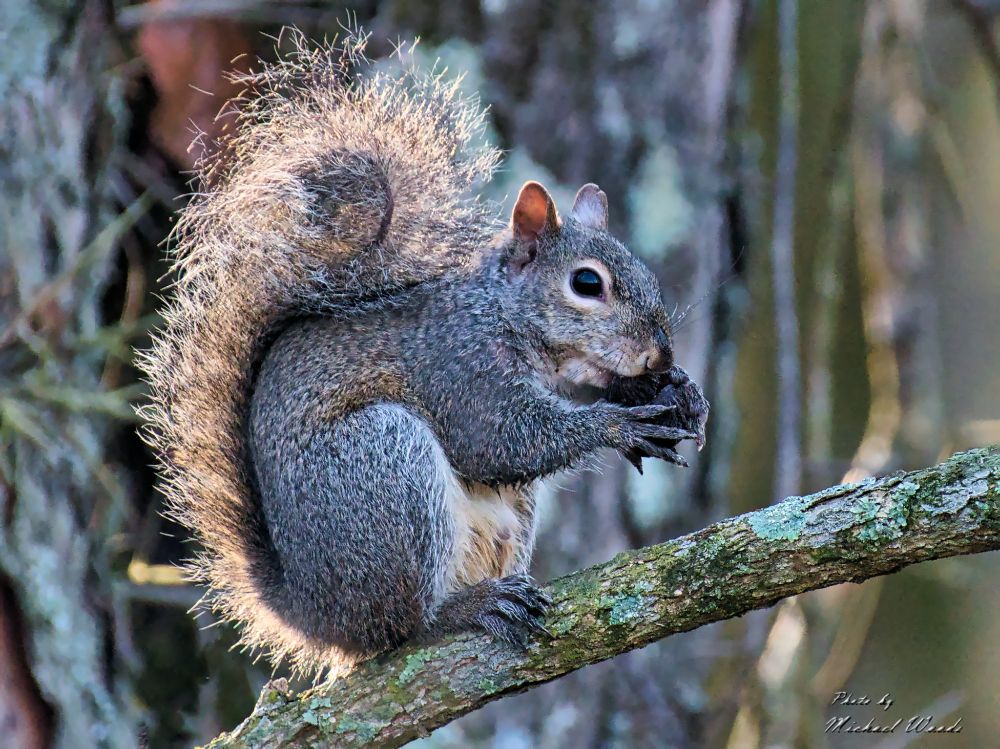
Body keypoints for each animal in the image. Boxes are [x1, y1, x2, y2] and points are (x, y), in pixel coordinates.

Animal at [138, 31, 708, 677]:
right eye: (587, 284)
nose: (659, 355)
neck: (501, 314)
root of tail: (315, 615)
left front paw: (674, 392)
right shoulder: (459, 367)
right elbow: (498, 440)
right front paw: (617, 424)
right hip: (384, 466)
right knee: (404, 628)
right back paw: (459, 612)